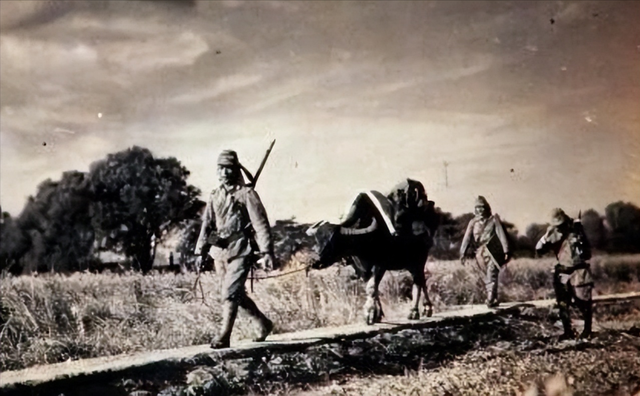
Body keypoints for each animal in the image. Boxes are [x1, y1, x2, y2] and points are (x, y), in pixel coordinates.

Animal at [306, 179, 440, 324]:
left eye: (332, 242)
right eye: (316, 239)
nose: (315, 261)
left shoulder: (380, 265)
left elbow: (371, 288)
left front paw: (369, 314)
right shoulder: (361, 269)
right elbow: (373, 289)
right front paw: (377, 314)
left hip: (419, 258)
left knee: (418, 282)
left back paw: (415, 311)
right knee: (422, 280)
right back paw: (426, 308)